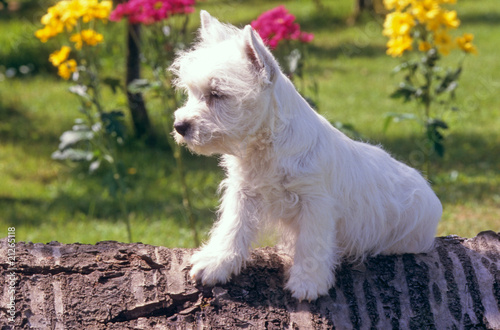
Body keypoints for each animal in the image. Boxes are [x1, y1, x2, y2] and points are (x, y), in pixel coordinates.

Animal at [173, 10, 442, 300]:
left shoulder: (315, 203)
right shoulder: (244, 193)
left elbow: (312, 243)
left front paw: (307, 282)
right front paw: (216, 263)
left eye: (217, 94)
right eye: (192, 92)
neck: (267, 148)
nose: (180, 126)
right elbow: (232, 227)